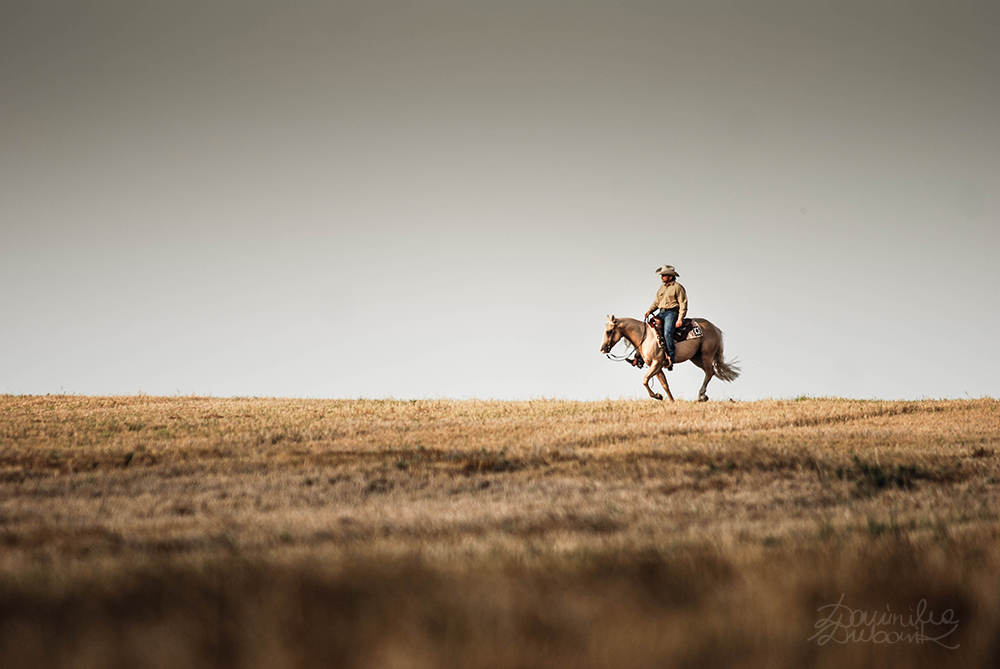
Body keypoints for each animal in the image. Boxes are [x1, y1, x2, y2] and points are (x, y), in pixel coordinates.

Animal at [596, 314, 740, 402]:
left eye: (609, 331)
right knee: (710, 372)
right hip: (696, 358)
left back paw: (700, 396)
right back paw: (703, 396)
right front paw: (669, 400)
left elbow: (644, 380)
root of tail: (715, 328)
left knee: (710, 372)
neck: (646, 336)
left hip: (706, 354)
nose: (602, 349)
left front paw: (657, 396)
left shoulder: (657, 363)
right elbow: (664, 384)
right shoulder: (657, 366)